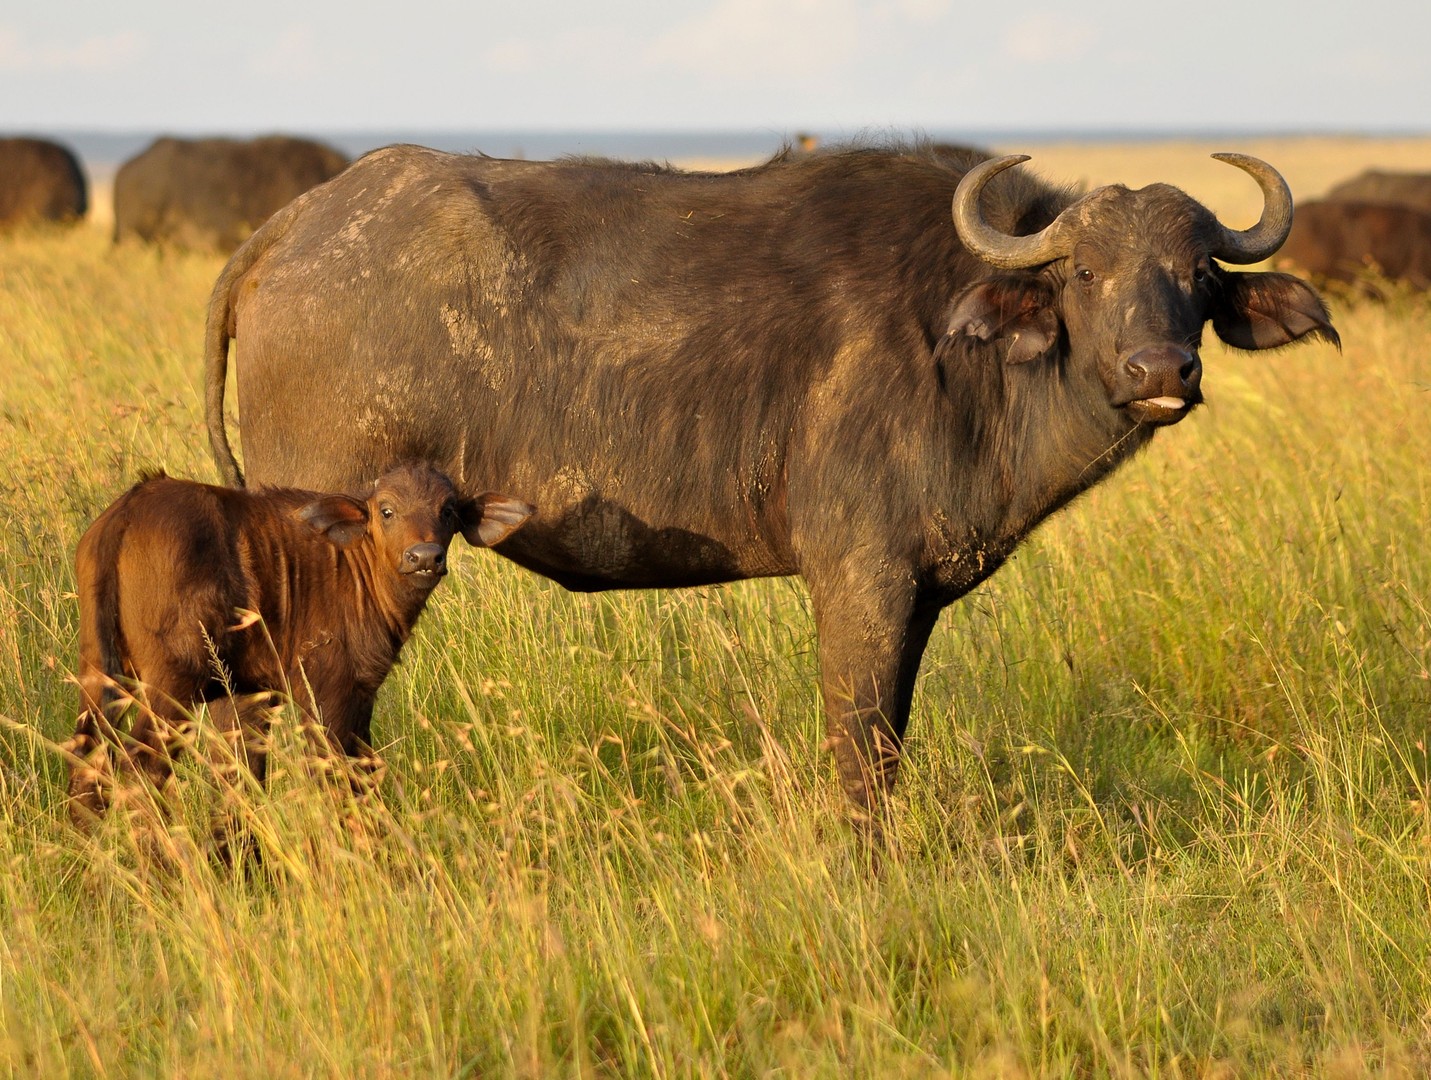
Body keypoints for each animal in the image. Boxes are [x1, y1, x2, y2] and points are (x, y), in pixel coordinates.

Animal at [69, 460, 535, 823]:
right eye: (387, 510)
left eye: (448, 510)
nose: (424, 557)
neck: (356, 566)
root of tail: (128, 510)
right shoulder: (328, 695)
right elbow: (337, 777)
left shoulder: (261, 695)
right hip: (173, 686)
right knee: (142, 768)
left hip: (98, 673)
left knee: (87, 772)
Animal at [204, 143, 1339, 818]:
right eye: (1087, 272)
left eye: (1196, 274)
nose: (1161, 372)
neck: (962, 351)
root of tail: (298, 225)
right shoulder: (859, 582)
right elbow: (861, 752)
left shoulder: (912, 601)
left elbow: (889, 740)